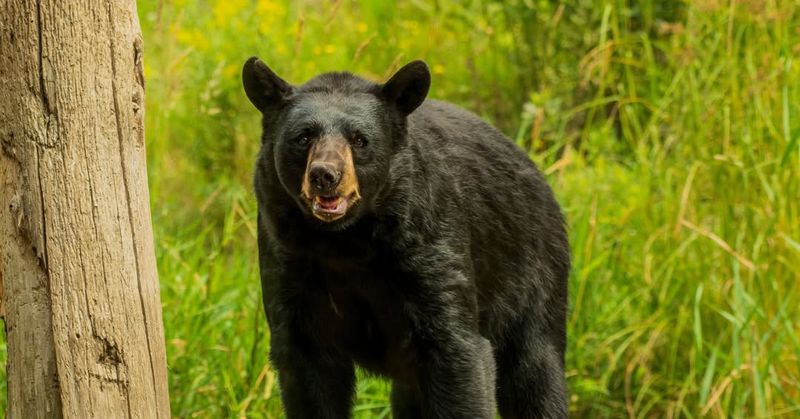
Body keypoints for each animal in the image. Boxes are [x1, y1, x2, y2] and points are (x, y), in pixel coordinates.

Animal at [242, 56, 568, 419]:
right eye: (303, 137)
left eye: (359, 139)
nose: (325, 175)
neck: (345, 242)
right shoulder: (288, 260)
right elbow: (307, 372)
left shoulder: (429, 245)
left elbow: (458, 352)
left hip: (531, 278)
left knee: (535, 376)